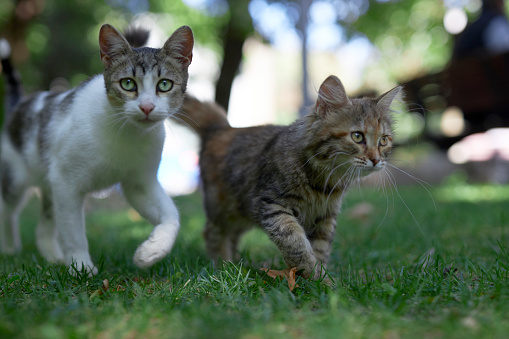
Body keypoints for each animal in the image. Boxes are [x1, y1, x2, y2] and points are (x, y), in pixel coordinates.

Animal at [0, 23, 193, 276]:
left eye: (164, 84)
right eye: (128, 83)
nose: (147, 107)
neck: (127, 134)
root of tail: (19, 104)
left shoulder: (140, 182)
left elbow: (172, 215)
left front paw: (152, 251)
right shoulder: (66, 183)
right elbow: (73, 231)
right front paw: (81, 267)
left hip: (49, 184)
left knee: (43, 226)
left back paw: (53, 257)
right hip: (16, 178)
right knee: (7, 211)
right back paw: (10, 249)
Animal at [179, 75, 400, 280]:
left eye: (383, 140)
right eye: (357, 136)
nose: (376, 160)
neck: (323, 183)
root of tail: (221, 129)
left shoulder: (325, 216)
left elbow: (320, 249)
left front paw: (321, 281)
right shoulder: (271, 204)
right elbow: (294, 240)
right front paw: (311, 273)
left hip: (240, 214)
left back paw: (233, 265)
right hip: (224, 208)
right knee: (212, 233)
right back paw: (222, 268)